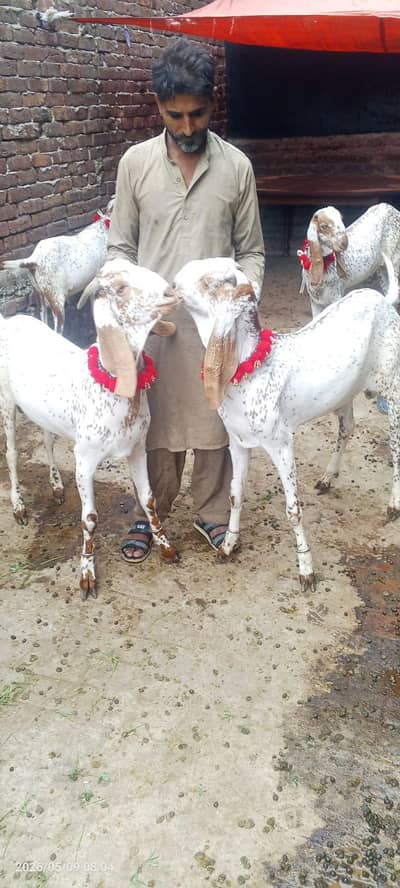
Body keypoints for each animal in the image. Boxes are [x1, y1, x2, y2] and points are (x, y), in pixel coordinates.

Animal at [0, 258, 180, 600]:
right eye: (120, 288)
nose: (171, 292)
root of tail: (12, 319)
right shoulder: (84, 459)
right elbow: (90, 519)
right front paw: (87, 574)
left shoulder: (137, 448)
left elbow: (149, 499)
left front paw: (166, 547)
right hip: (6, 402)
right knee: (12, 453)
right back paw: (18, 506)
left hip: (43, 413)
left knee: (47, 439)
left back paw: (56, 486)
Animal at [173, 255, 400, 591]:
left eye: (214, 282)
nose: (174, 282)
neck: (251, 367)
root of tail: (382, 299)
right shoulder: (237, 442)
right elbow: (234, 494)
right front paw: (228, 546)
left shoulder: (281, 443)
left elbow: (293, 510)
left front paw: (306, 569)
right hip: (344, 393)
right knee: (347, 428)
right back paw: (328, 478)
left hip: (393, 386)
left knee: (396, 447)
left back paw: (393, 505)